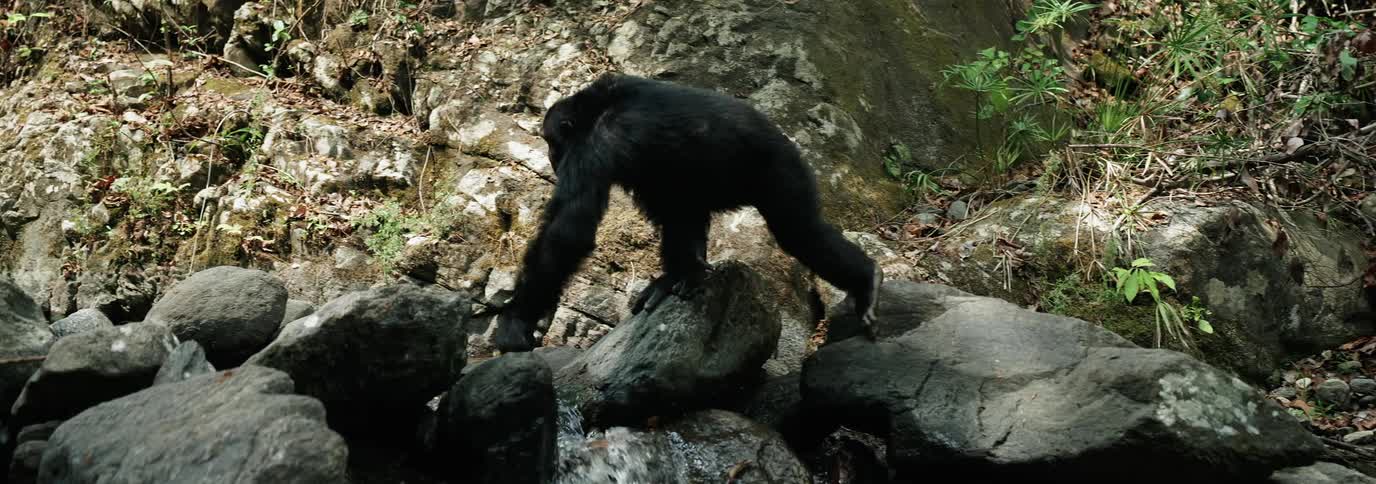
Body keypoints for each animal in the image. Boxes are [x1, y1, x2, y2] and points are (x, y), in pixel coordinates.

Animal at [492, 72, 882, 352]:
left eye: (551, 141)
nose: (551, 157)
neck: (597, 109)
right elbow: (671, 210)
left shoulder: (596, 146)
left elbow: (568, 231)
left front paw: (516, 320)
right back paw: (684, 275)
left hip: (781, 172)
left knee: (800, 231)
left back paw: (866, 282)